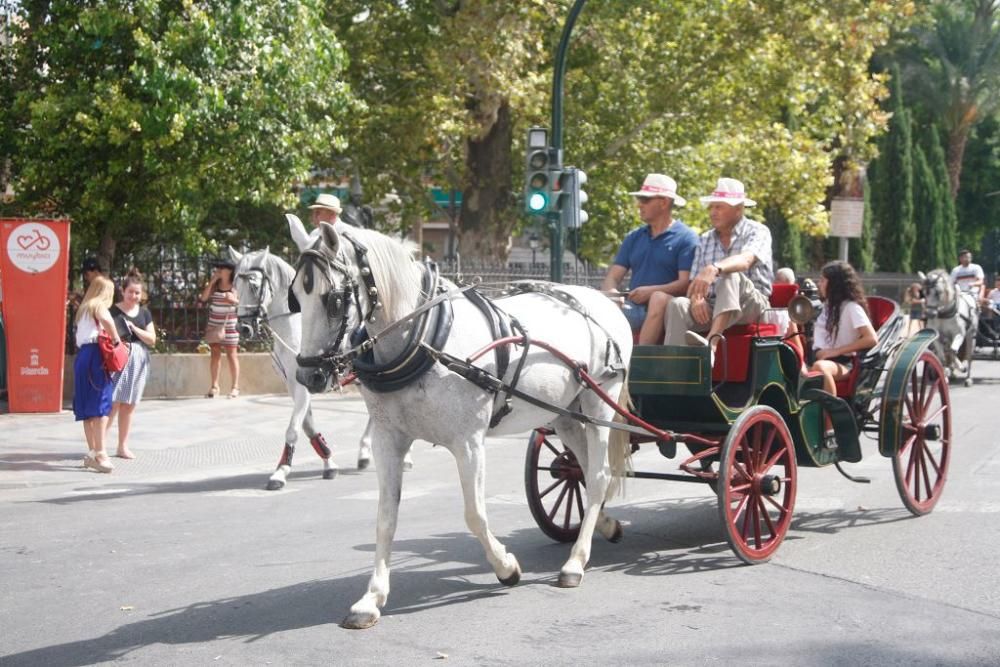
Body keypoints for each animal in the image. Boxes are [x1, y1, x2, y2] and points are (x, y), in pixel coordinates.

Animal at [230, 248, 386, 488]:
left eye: (255, 286)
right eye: (236, 286)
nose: (243, 328)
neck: (294, 329)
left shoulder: (303, 384)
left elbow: (294, 428)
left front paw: (281, 471)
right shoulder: (294, 384)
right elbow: (306, 425)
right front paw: (328, 462)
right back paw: (364, 453)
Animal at [290, 222, 632, 628]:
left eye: (333, 300)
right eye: (295, 297)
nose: (308, 376)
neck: (423, 341)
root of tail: (605, 301)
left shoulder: (468, 442)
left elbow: (474, 514)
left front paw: (506, 567)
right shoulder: (388, 439)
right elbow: (385, 519)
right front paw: (371, 599)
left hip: (600, 403)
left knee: (598, 476)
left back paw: (575, 562)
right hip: (564, 413)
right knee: (585, 469)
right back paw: (605, 526)